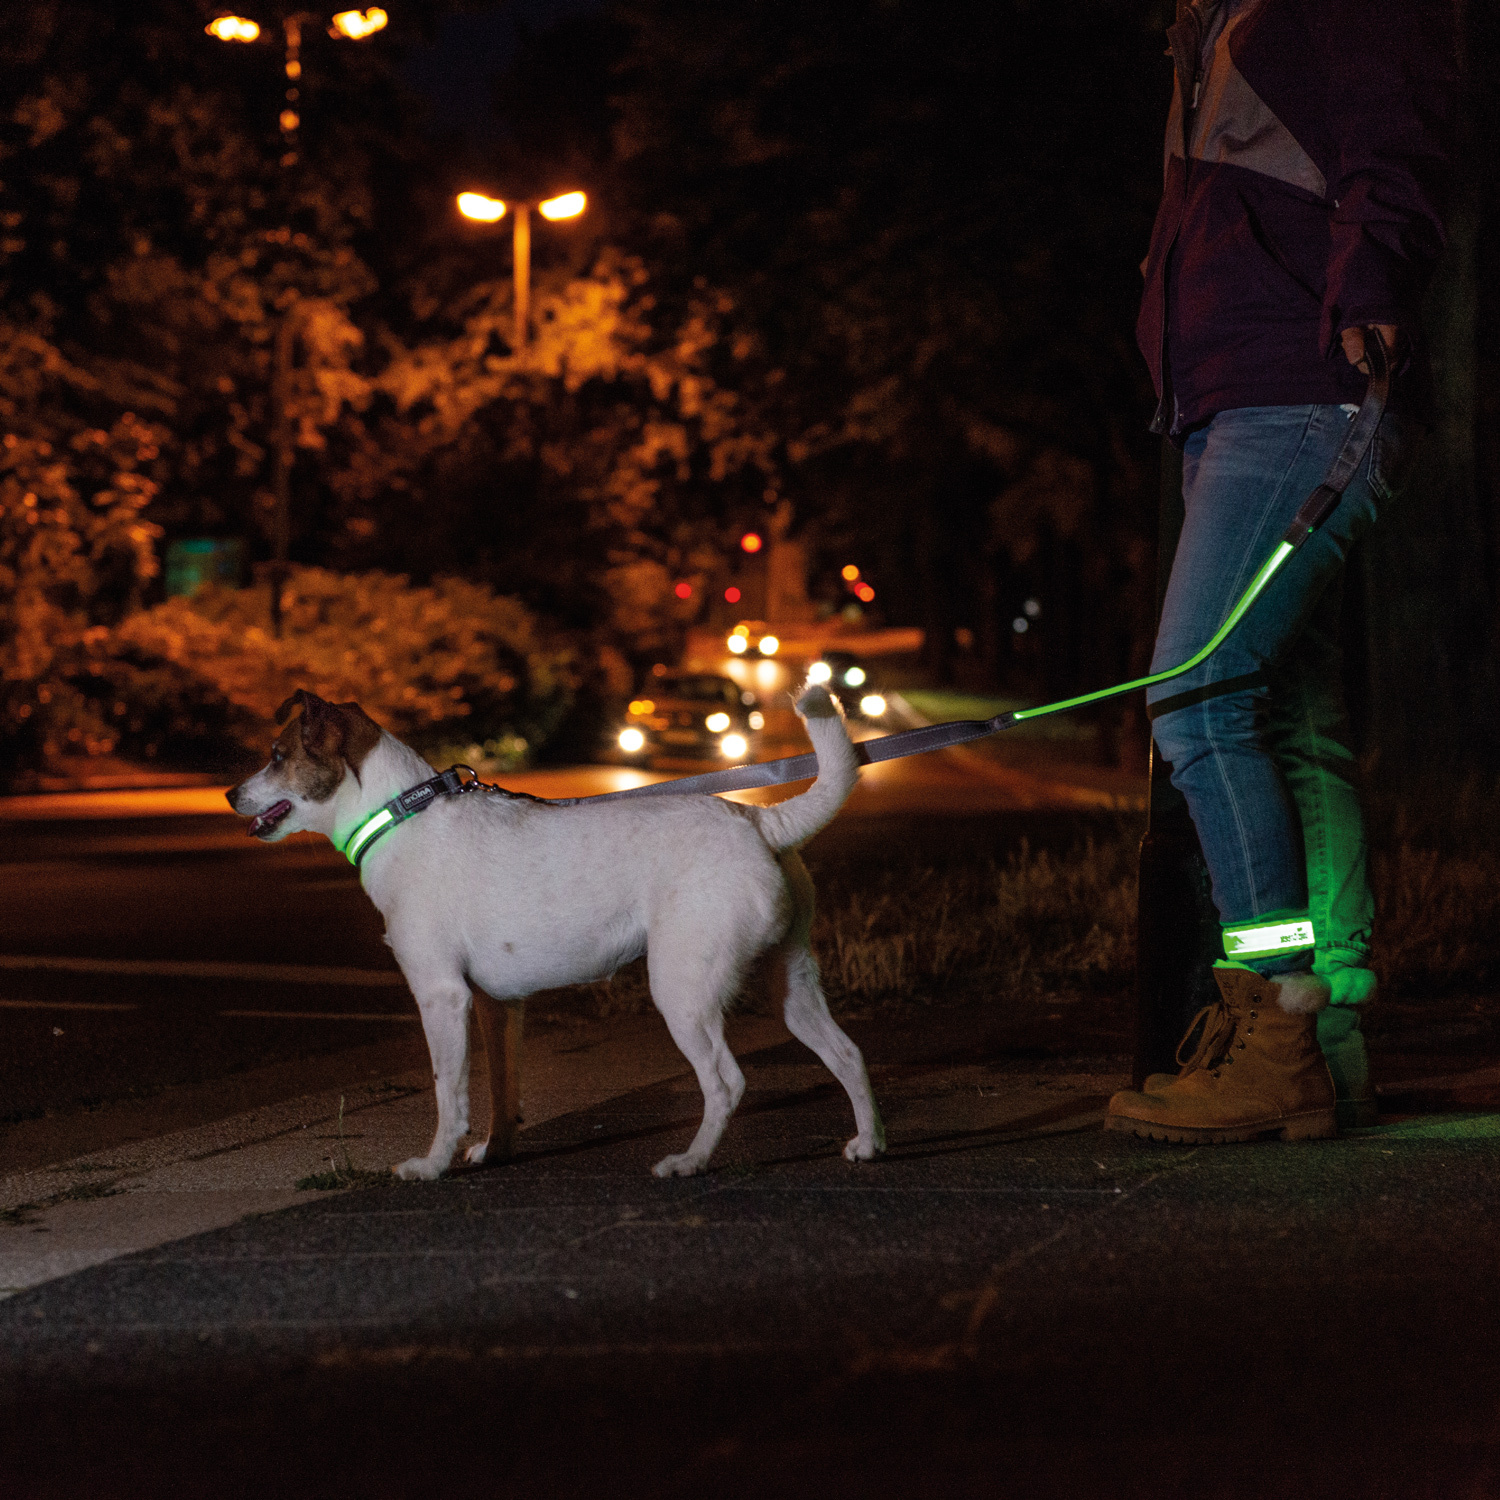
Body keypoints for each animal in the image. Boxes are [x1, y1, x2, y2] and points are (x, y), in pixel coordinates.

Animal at [228, 684, 882, 1182]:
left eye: (276, 754)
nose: (231, 794)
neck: (399, 815)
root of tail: (760, 819)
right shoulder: (497, 1005)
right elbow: (501, 1092)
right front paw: (496, 1153)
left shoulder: (442, 996)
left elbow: (448, 1093)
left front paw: (433, 1165)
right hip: (791, 984)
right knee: (848, 1053)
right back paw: (869, 1144)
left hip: (682, 992)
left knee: (727, 1082)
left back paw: (690, 1161)